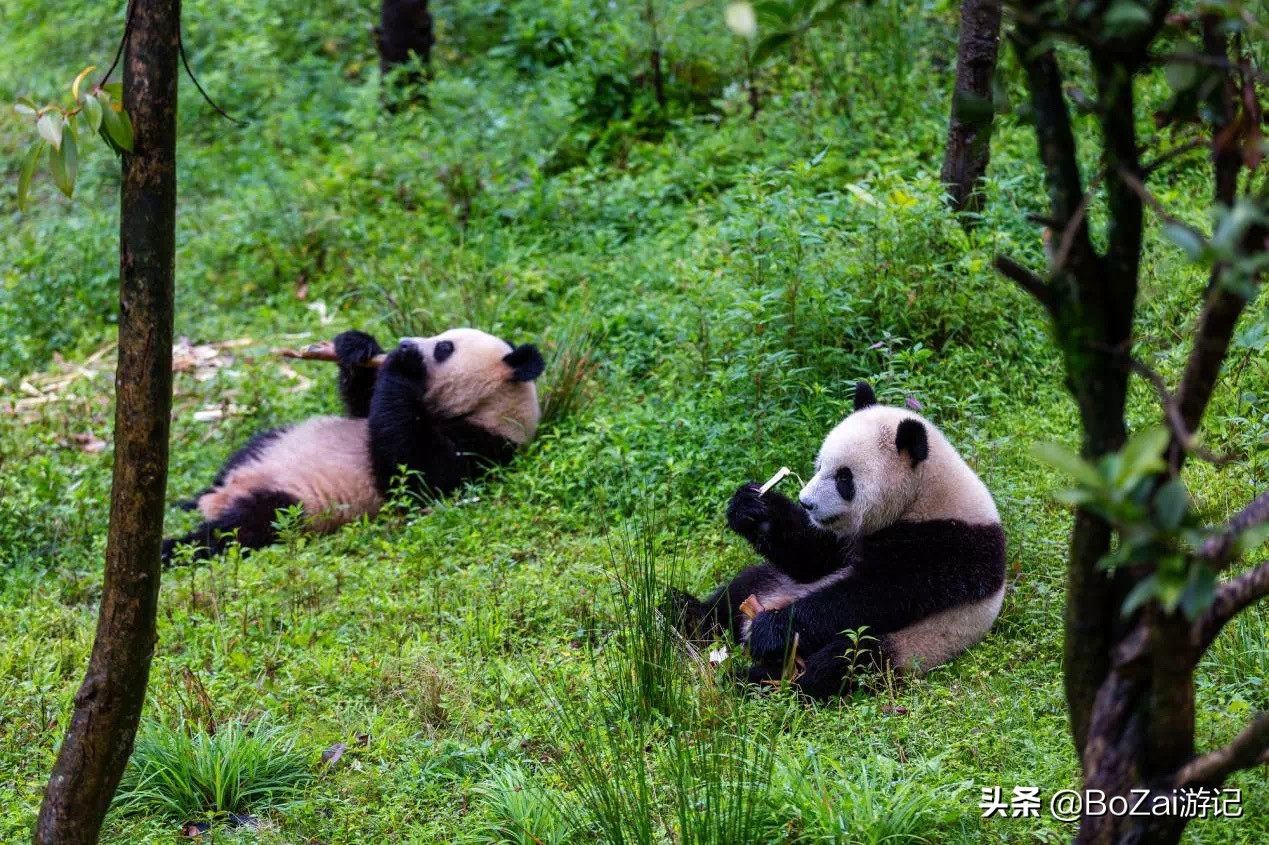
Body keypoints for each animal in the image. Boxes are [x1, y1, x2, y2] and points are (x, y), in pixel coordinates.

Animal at [161, 327, 543, 558]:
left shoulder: (482, 449)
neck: (490, 408)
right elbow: (366, 407)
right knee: (238, 460)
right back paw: (183, 502)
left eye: (444, 347)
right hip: (271, 443)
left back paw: (174, 547)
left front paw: (403, 365)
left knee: (241, 527)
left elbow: (412, 469)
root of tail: (222, 497)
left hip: (294, 506)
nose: (405, 343)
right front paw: (358, 346)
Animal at [670, 380, 1005, 695]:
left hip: (911, 643)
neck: (925, 494)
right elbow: (814, 559)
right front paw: (753, 507)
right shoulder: (849, 535)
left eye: (845, 478)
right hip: (772, 581)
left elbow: (870, 596)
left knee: (842, 661)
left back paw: (755, 677)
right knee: (738, 590)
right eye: (820, 465)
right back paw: (684, 613)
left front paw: (772, 630)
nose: (806, 503)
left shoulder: (942, 546)